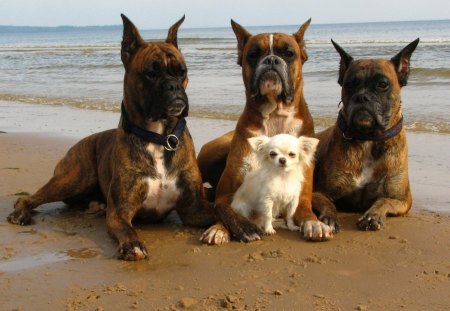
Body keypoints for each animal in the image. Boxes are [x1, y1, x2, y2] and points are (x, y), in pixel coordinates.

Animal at [7, 14, 255, 260]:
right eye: (151, 73)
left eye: (182, 71)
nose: (173, 86)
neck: (159, 137)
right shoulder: (121, 212)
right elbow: (127, 229)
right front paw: (132, 245)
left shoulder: (193, 208)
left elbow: (220, 207)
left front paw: (243, 224)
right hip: (73, 179)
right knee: (28, 198)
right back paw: (20, 213)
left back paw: (95, 205)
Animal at [197, 18, 334, 246]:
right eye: (253, 54)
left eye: (289, 53)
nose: (271, 60)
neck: (275, 115)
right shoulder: (227, 193)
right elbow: (226, 210)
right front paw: (220, 229)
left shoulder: (301, 194)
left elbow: (305, 212)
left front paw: (314, 224)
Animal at [312, 37, 418, 232]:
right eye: (350, 84)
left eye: (382, 84)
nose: (362, 97)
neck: (369, 138)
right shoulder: (318, 192)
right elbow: (327, 203)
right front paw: (329, 218)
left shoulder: (402, 200)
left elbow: (383, 201)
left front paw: (372, 216)